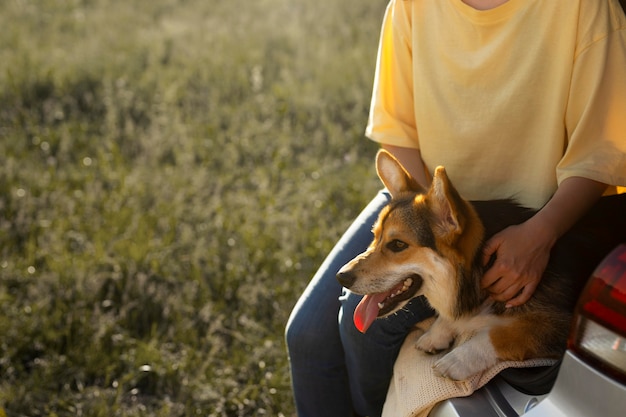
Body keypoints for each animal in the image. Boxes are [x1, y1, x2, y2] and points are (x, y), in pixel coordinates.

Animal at [336, 150, 584, 380]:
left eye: (397, 244)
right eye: (374, 236)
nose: (341, 277)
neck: (478, 269)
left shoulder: (558, 325)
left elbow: (502, 334)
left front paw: (455, 361)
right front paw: (436, 335)